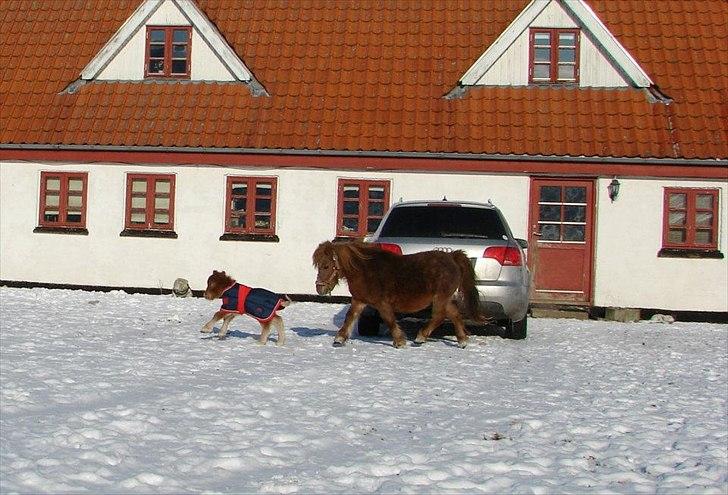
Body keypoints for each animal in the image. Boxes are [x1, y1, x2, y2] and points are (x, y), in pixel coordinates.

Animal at [310, 240, 480, 348]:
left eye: (326, 266)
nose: (319, 289)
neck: (365, 270)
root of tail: (452, 257)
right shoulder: (359, 300)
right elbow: (349, 317)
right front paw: (339, 339)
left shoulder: (382, 303)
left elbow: (390, 320)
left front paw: (399, 342)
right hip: (444, 298)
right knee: (454, 314)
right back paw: (462, 341)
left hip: (440, 298)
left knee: (439, 316)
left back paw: (420, 338)